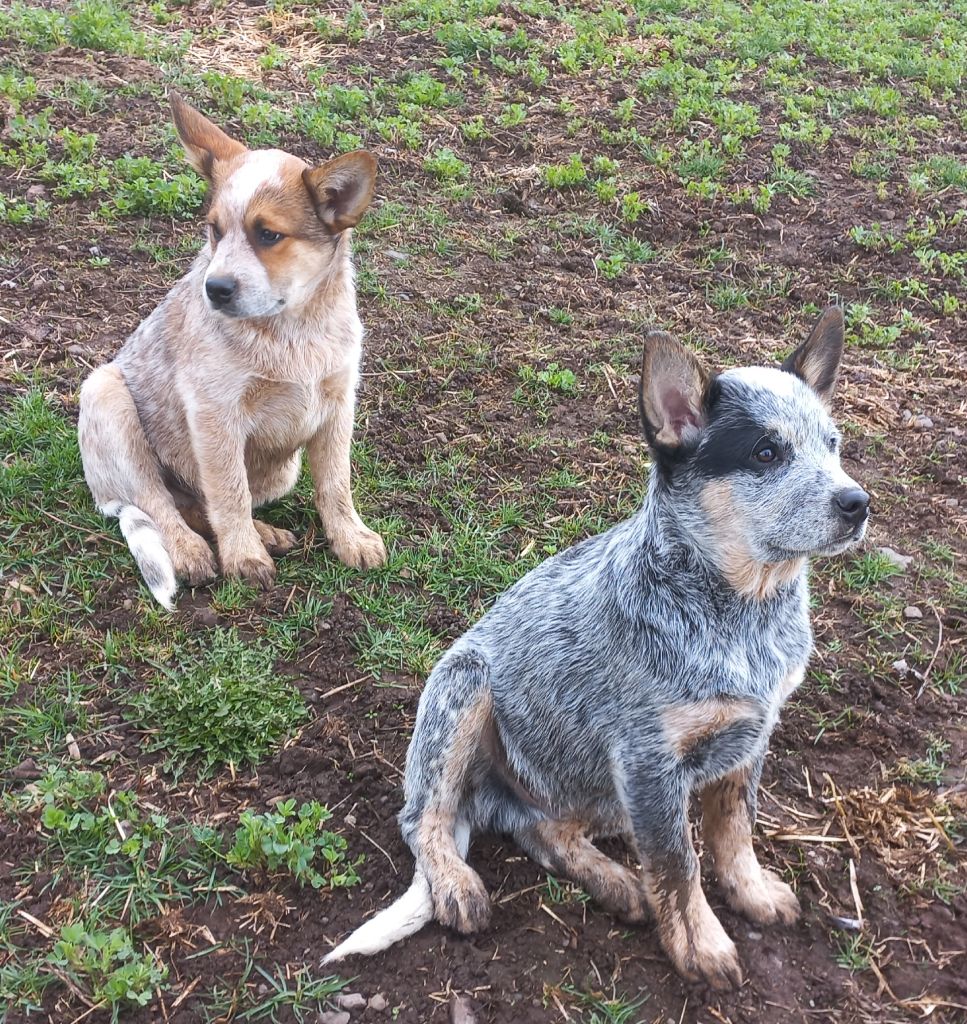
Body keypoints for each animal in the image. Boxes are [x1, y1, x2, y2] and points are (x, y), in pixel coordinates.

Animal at [323, 307, 868, 987]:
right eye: (766, 452)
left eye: (833, 444)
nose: (858, 503)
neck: (742, 611)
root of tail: (492, 799)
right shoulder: (646, 757)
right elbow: (679, 864)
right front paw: (701, 946)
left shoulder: (751, 732)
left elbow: (733, 829)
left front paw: (754, 892)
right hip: (463, 687)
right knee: (426, 818)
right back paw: (458, 884)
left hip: (589, 788)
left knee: (540, 830)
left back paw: (614, 882)